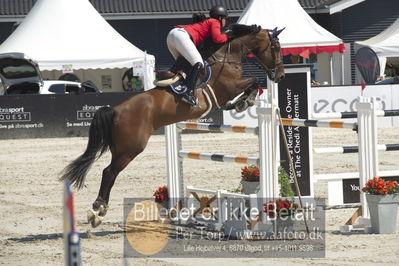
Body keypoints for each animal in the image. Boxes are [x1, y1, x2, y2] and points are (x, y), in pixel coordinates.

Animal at [59, 23, 286, 227]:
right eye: (276, 47)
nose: (280, 75)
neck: (226, 57)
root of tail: (115, 110)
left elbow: (251, 85)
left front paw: (241, 102)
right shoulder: (229, 87)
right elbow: (253, 81)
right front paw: (244, 101)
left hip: (120, 148)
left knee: (109, 171)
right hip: (130, 148)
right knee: (109, 173)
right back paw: (97, 211)